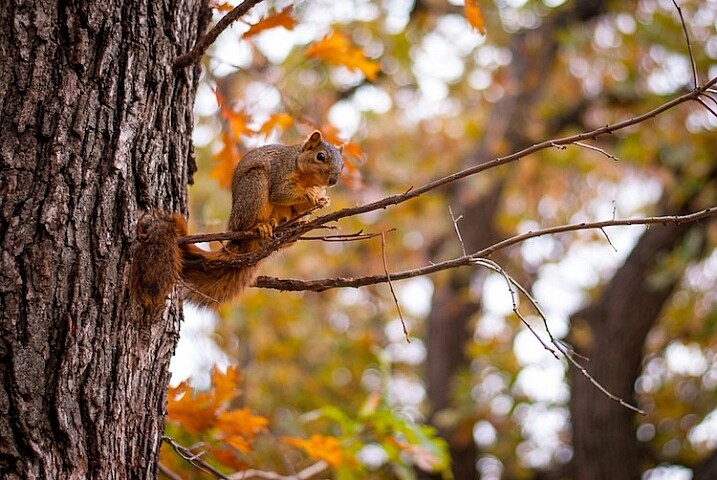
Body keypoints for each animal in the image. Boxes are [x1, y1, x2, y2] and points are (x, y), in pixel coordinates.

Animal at [131, 131, 344, 312]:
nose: (333, 181)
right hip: (254, 185)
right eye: (321, 156)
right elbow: (280, 193)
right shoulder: (281, 171)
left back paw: (291, 229)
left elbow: (302, 205)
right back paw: (262, 226)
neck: (307, 177)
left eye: (342, 166)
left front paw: (323, 199)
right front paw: (310, 194)